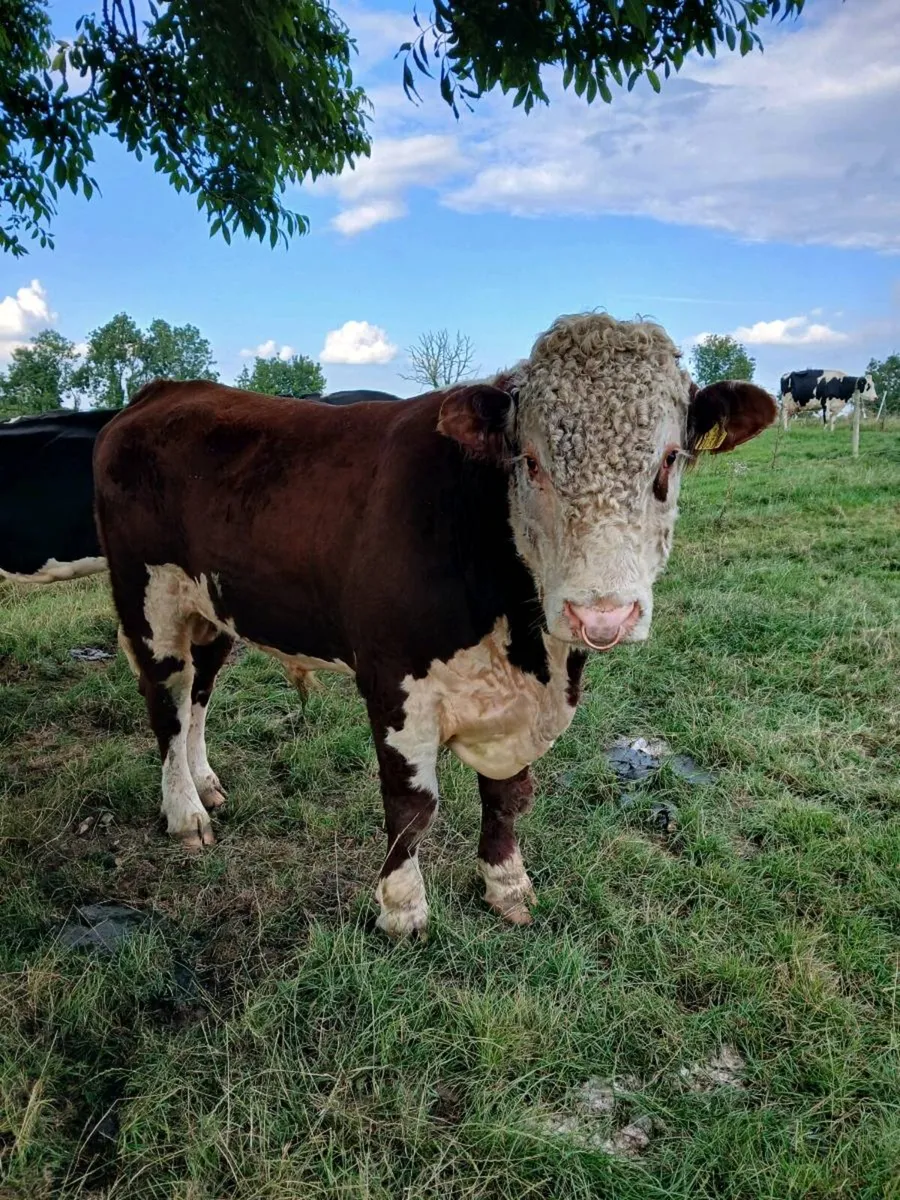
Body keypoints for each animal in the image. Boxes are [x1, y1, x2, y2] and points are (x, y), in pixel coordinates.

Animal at [93, 313, 776, 937]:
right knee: (168, 701)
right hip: (149, 601)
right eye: (530, 462)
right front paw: (402, 909)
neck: (528, 652)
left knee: (199, 693)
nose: (601, 613)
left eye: (669, 458)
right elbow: (411, 805)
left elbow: (505, 796)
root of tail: (163, 391)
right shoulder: (393, 680)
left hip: (213, 609)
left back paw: (205, 783)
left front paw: (506, 884)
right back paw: (184, 811)